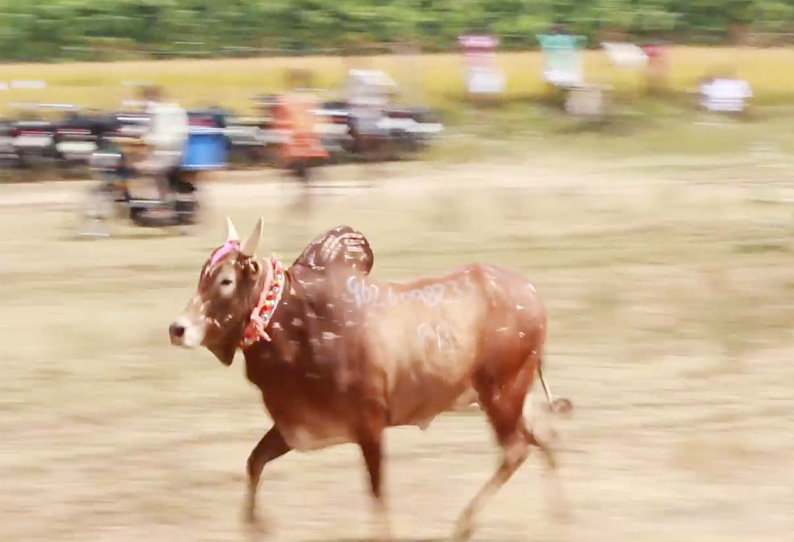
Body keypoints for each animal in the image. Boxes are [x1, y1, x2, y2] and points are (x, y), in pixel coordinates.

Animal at [170, 219, 572, 540]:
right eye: (203, 274)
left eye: (225, 280)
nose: (178, 329)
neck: (296, 324)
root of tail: (532, 294)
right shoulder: (294, 427)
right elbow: (254, 462)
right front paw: (256, 526)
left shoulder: (369, 426)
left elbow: (378, 496)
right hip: (509, 396)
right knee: (545, 436)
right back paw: (558, 517)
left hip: (501, 394)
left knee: (516, 450)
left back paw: (465, 523)